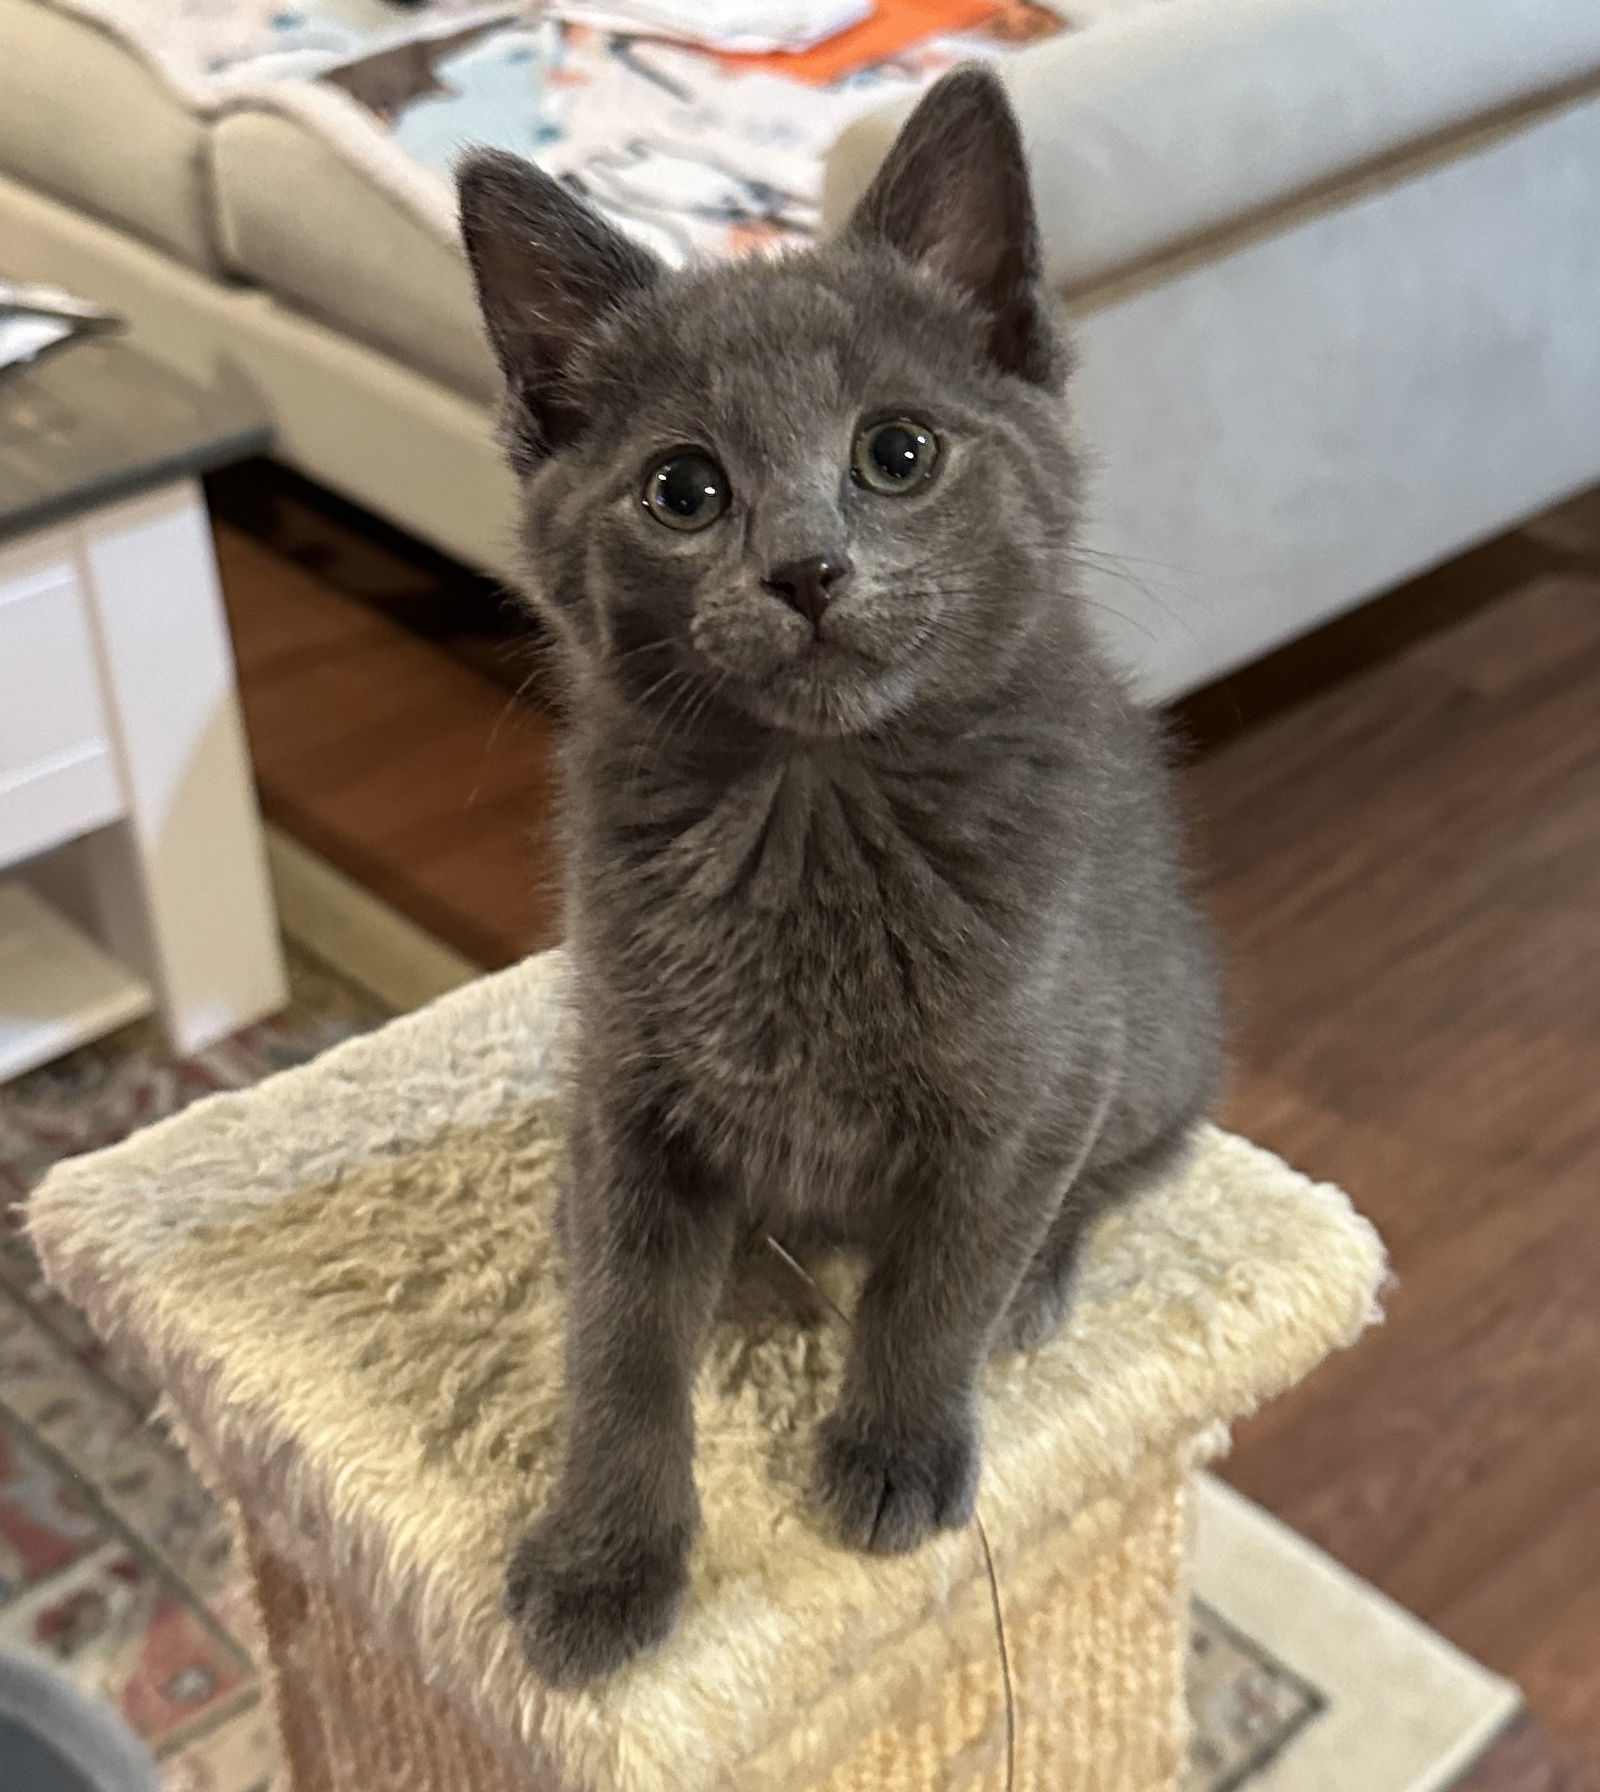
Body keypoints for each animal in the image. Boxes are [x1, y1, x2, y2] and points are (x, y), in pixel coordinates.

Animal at [455, 69, 1218, 1684]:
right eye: (683, 489)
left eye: (899, 453)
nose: (806, 568)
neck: (810, 808)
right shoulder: (624, 1081)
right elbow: (619, 1334)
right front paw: (606, 1558)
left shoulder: (1031, 1080)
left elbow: (941, 1278)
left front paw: (893, 1449)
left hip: (1160, 1045)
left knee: (1101, 1184)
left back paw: (1037, 1285)